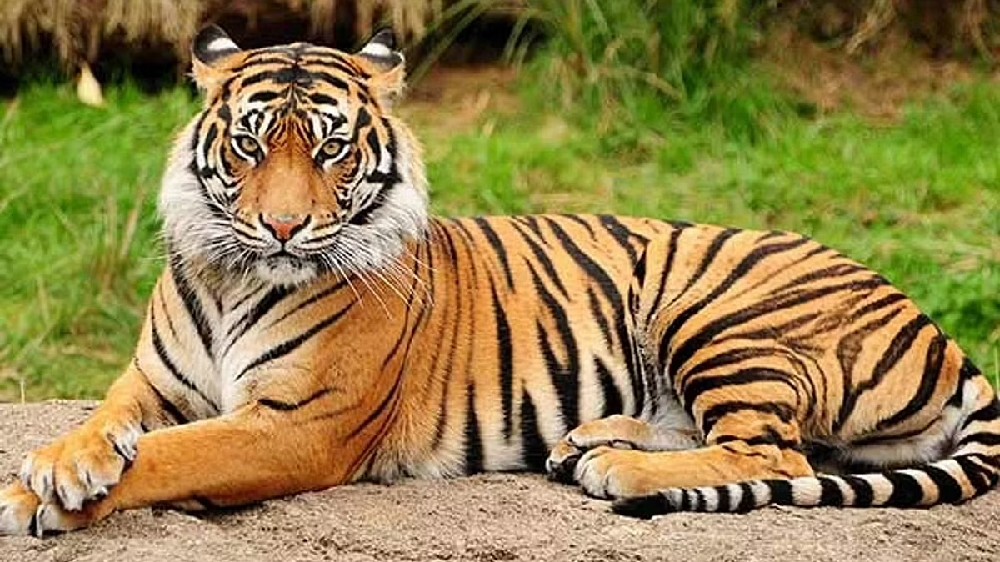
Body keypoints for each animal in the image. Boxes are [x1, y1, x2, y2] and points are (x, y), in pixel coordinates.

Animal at [1, 25, 998, 536]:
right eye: (249, 144)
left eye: (329, 148)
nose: (282, 227)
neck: (232, 275)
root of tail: (941, 332)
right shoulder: (152, 382)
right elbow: (111, 424)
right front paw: (59, 464)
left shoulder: (296, 425)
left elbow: (173, 455)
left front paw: (37, 495)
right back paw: (590, 443)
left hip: (716, 310)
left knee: (776, 454)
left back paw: (620, 472)